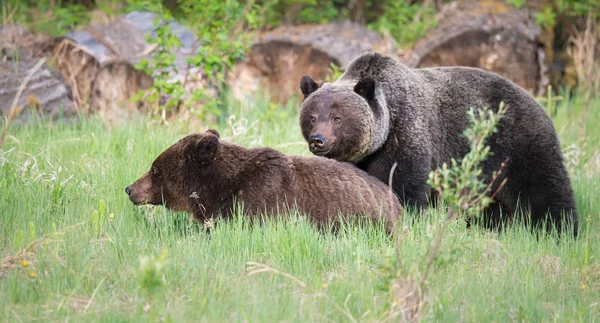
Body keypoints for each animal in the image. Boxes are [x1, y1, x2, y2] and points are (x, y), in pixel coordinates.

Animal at [298, 52, 580, 237]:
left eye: (337, 117)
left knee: (544, 189)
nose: (318, 140)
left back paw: (561, 231)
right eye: (312, 116)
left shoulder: (407, 137)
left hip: (518, 143)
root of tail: (536, 100)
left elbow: (403, 186)